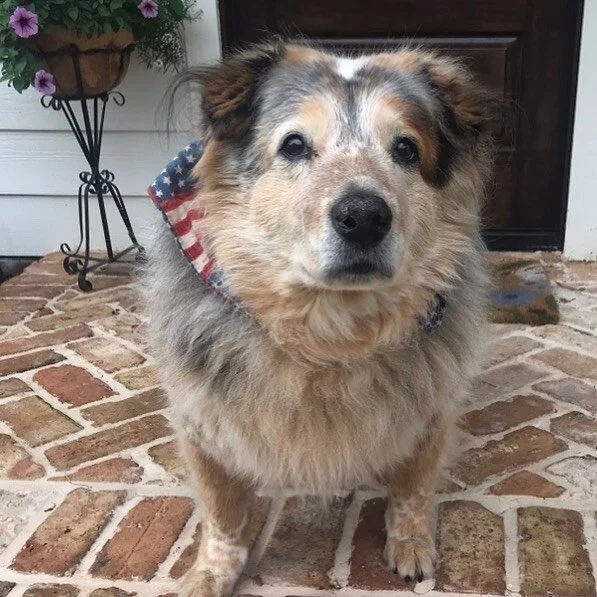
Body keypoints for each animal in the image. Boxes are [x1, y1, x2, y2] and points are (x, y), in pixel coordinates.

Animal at [143, 42, 494, 596]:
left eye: (406, 149)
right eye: (293, 145)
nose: (364, 217)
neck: (331, 333)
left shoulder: (433, 409)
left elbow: (413, 488)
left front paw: (411, 544)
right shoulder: (203, 421)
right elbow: (223, 514)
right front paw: (211, 573)